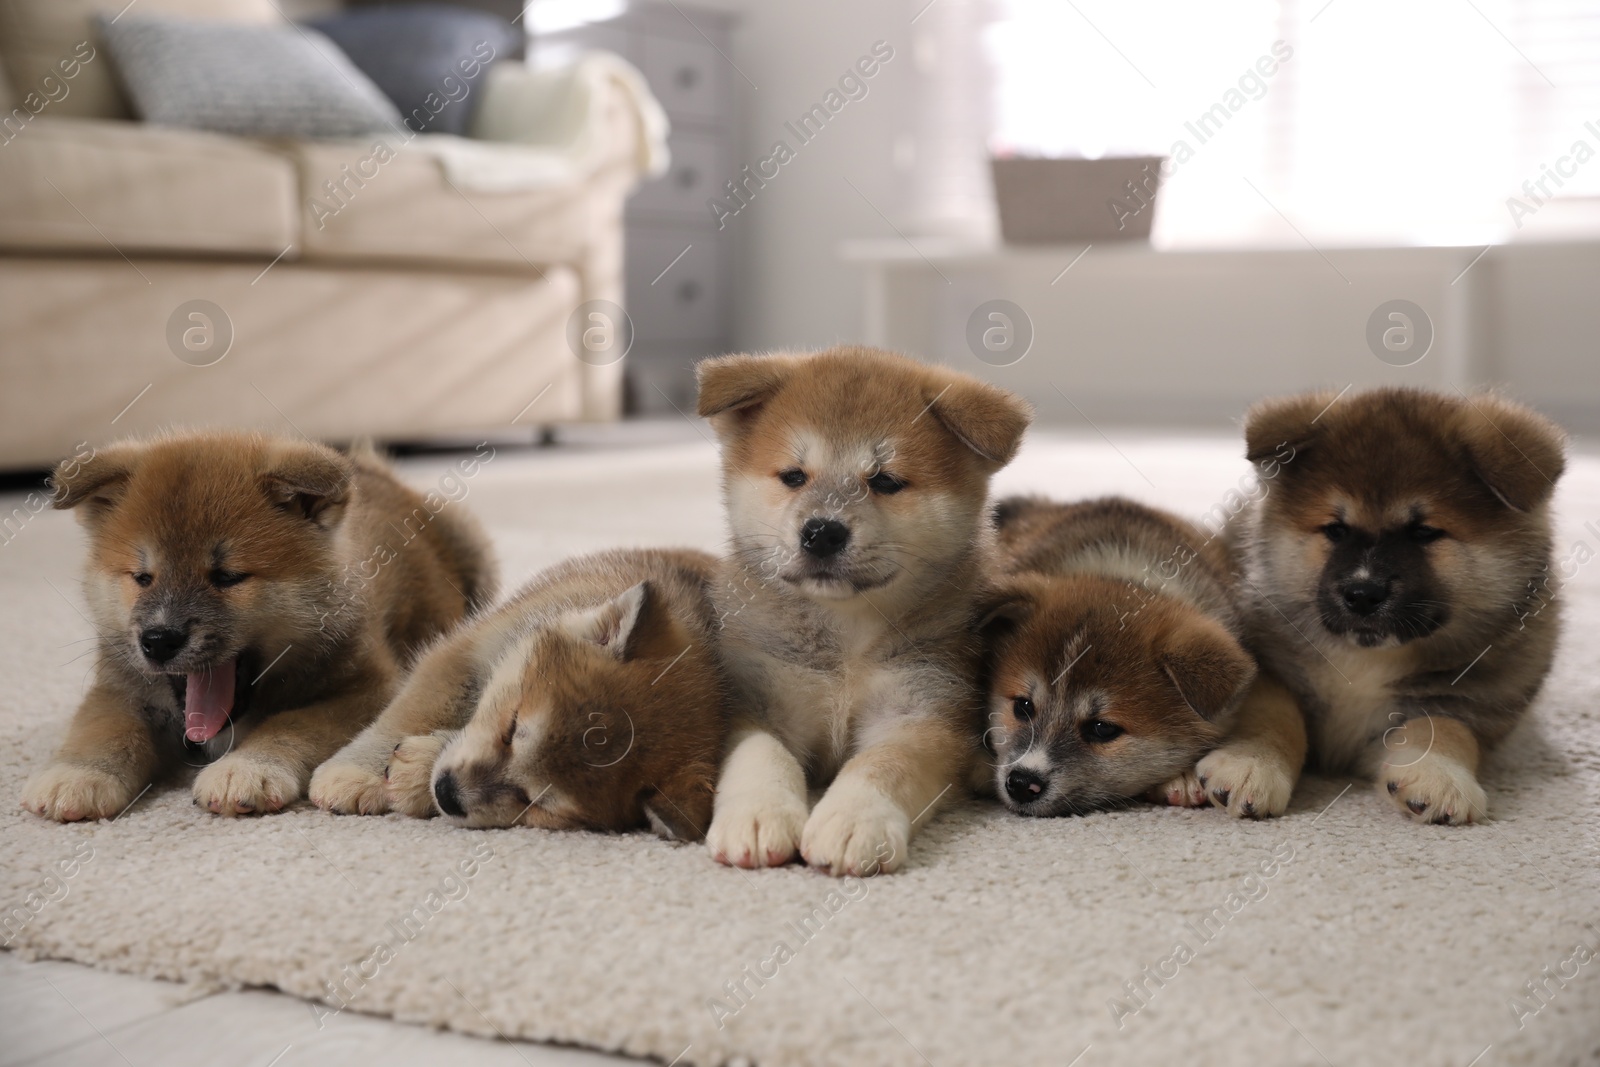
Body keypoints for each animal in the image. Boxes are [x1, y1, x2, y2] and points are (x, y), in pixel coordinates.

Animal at [20, 428, 492, 825]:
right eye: (142, 577)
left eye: (228, 577)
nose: (158, 640)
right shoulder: (121, 687)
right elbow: (103, 728)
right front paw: (78, 776)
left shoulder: (368, 688)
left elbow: (291, 724)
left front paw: (243, 769)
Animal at [312, 550, 726, 844]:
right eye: (511, 728)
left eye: (536, 803)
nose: (446, 793)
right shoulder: (466, 653)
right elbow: (409, 712)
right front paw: (354, 773)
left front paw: (417, 772)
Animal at [700, 347, 1036, 870]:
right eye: (793, 476)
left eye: (885, 481)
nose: (822, 531)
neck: (846, 639)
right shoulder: (755, 699)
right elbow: (761, 753)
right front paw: (756, 815)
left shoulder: (919, 712)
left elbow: (880, 765)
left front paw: (854, 820)